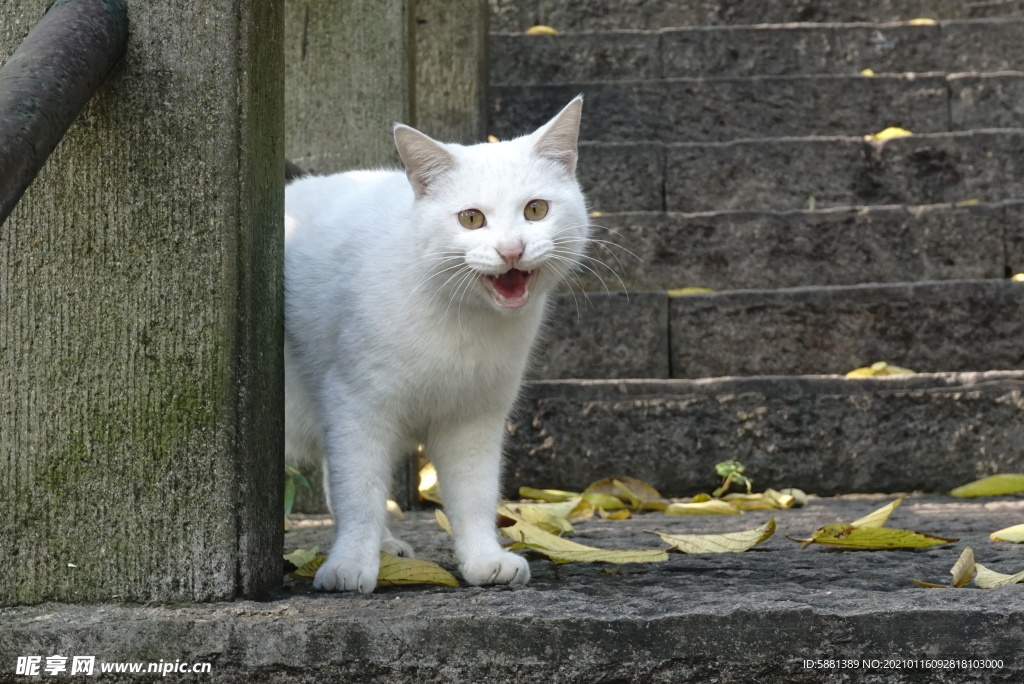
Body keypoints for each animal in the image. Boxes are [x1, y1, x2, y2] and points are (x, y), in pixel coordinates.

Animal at [284, 97, 589, 593]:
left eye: (536, 210)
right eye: (471, 218)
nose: (510, 250)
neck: (461, 323)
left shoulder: (475, 418)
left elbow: (474, 495)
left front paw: (484, 560)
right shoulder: (355, 406)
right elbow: (359, 493)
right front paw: (349, 565)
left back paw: (388, 547)